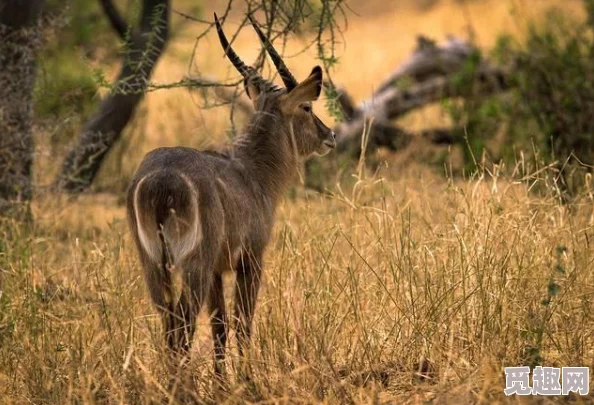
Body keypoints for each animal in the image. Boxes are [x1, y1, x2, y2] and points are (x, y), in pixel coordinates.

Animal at [125, 13, 336, 376]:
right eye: (307, 106)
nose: (330, 135)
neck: (252, 172)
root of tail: (160, 179)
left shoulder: (216, 270)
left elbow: (220, 325)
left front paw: (223, 380)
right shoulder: (250, 258)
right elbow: (242, 321)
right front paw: (249, 378)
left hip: (154, 263)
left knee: (169, 321)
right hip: (192, 262)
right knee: (183, 322)